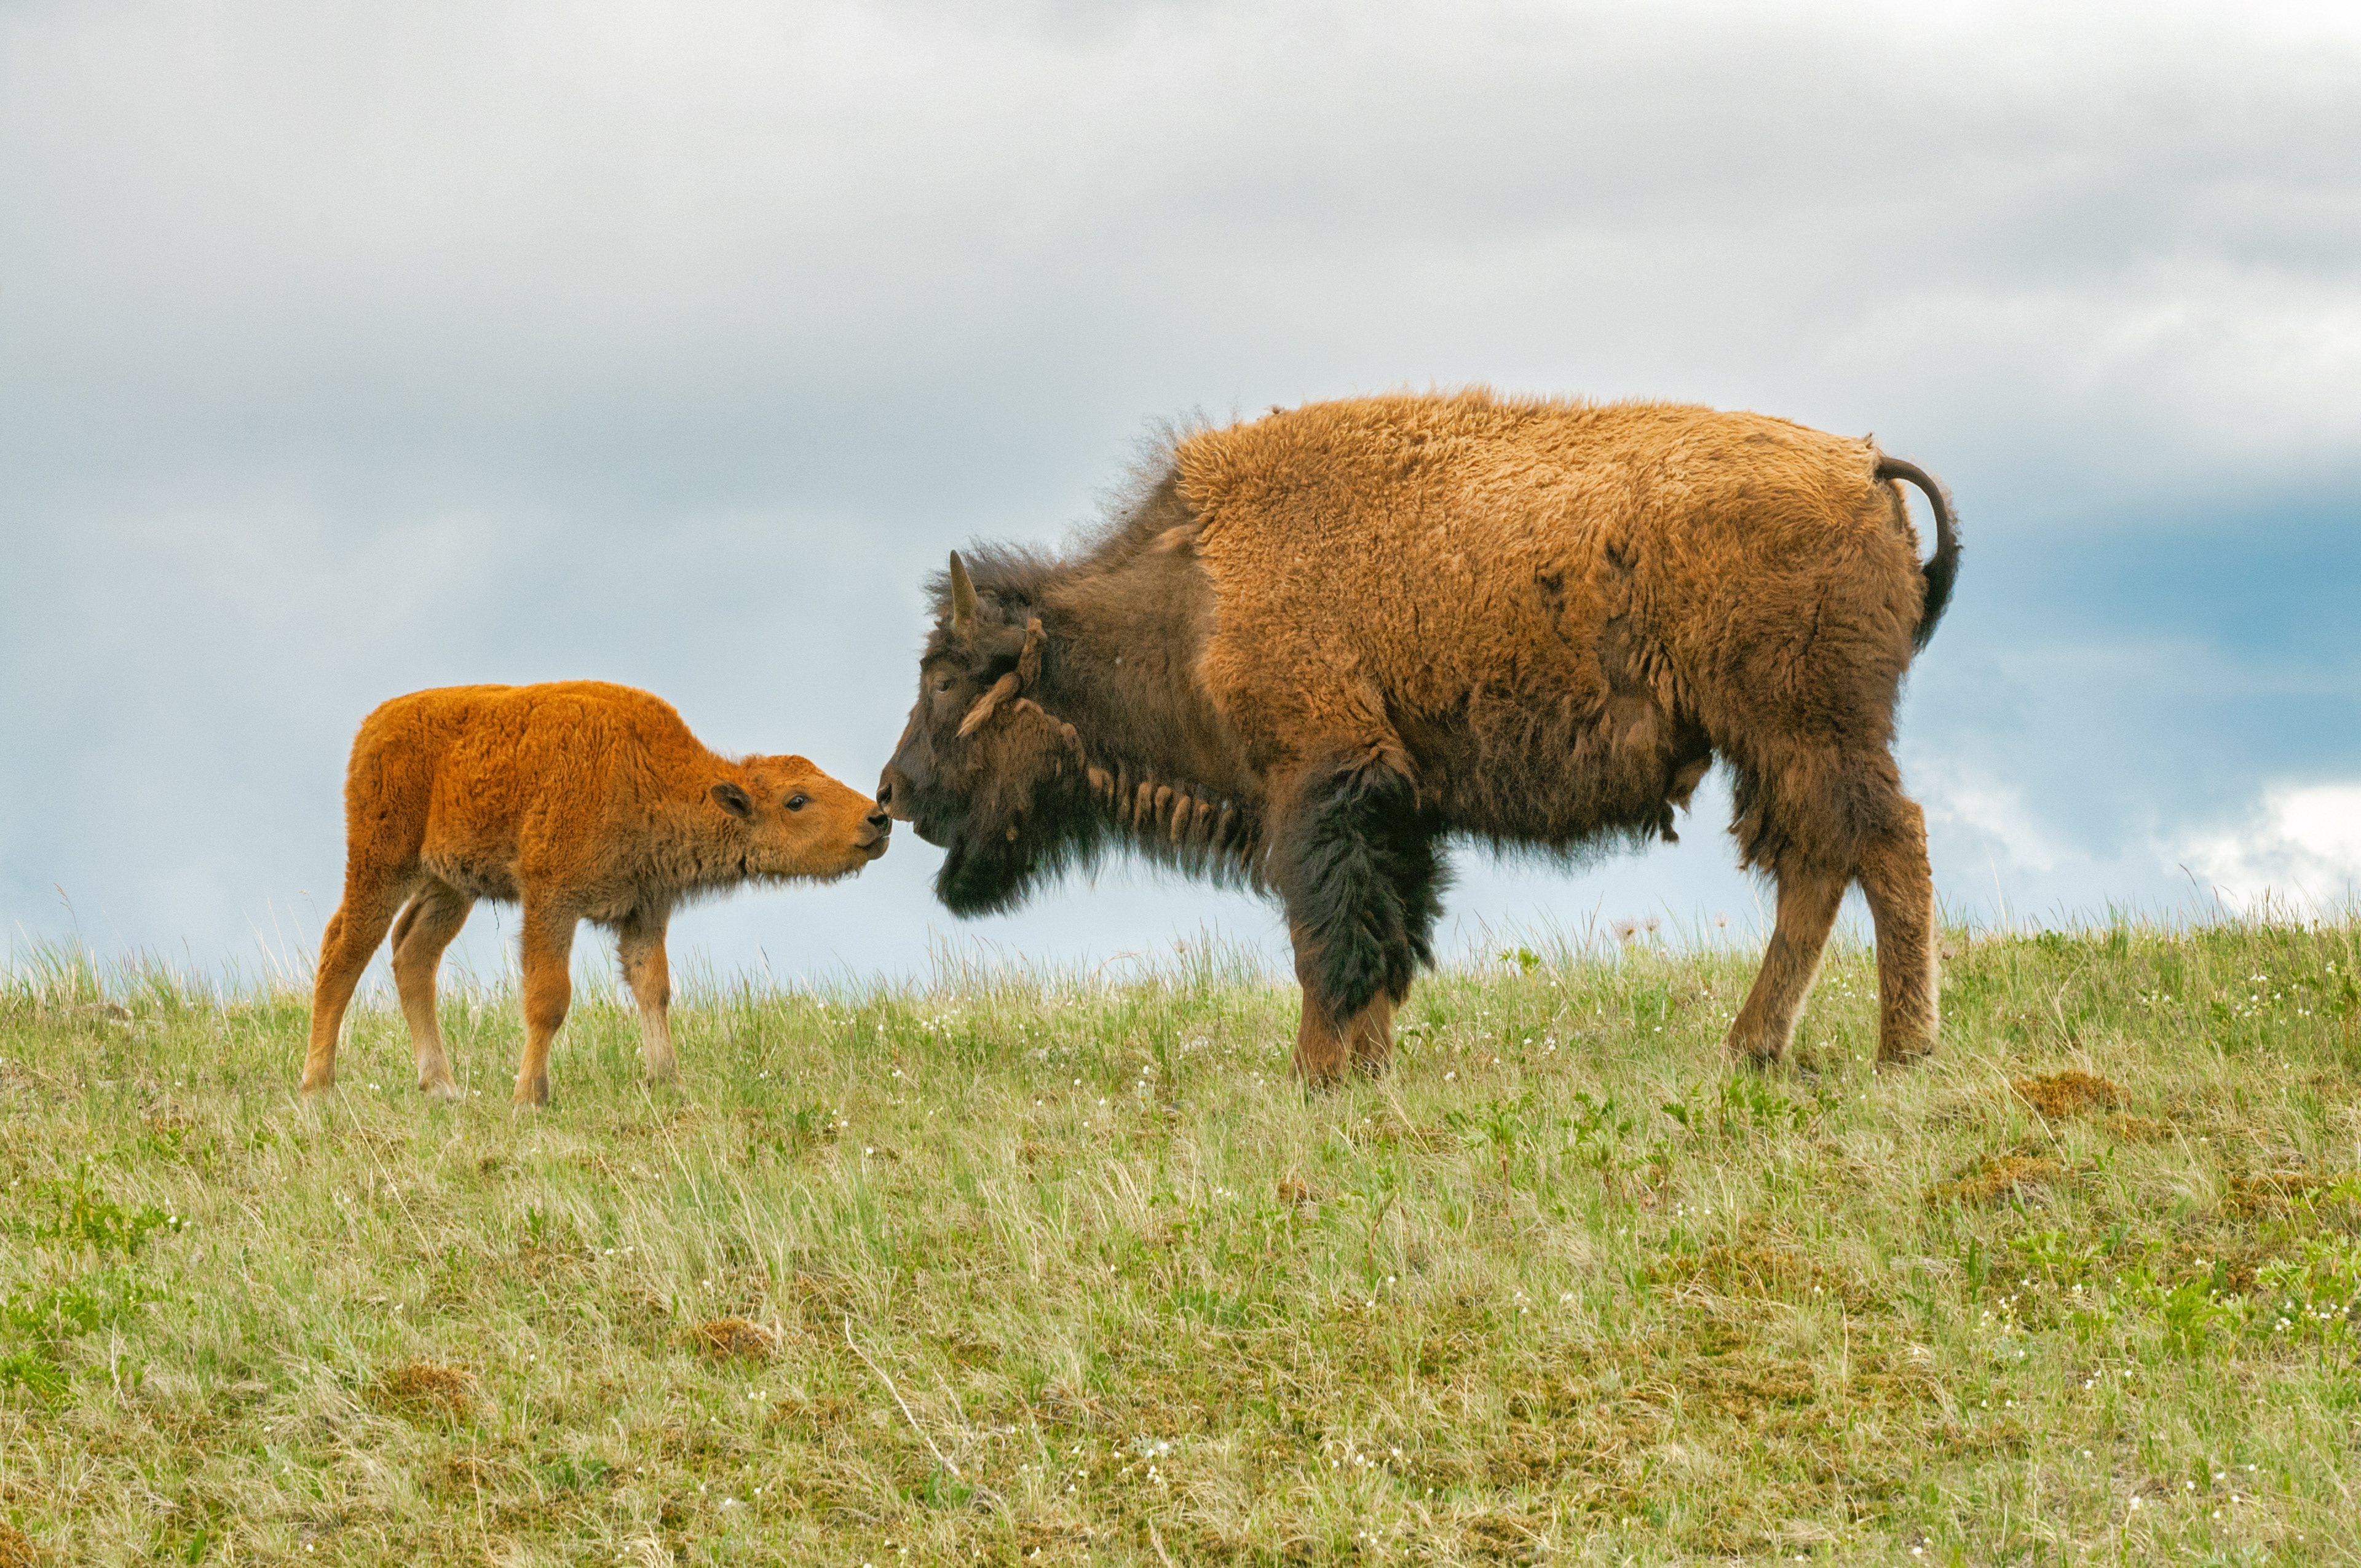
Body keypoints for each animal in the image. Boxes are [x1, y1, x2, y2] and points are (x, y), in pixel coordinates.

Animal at [880, 391, 1959, 1080]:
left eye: (944, 677)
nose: (892, 792)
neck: (1199, 596)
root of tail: (1864, 464)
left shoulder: (1322, 782)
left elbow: (1329, 935)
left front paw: (1316, 1073)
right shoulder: (1397, 804)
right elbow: (1388, 933)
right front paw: (1368, 1067)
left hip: (1806, 730)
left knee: (1885, 845)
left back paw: (1901, 1050)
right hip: (1781, 746)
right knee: (1821, 865)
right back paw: (1753, 1049)